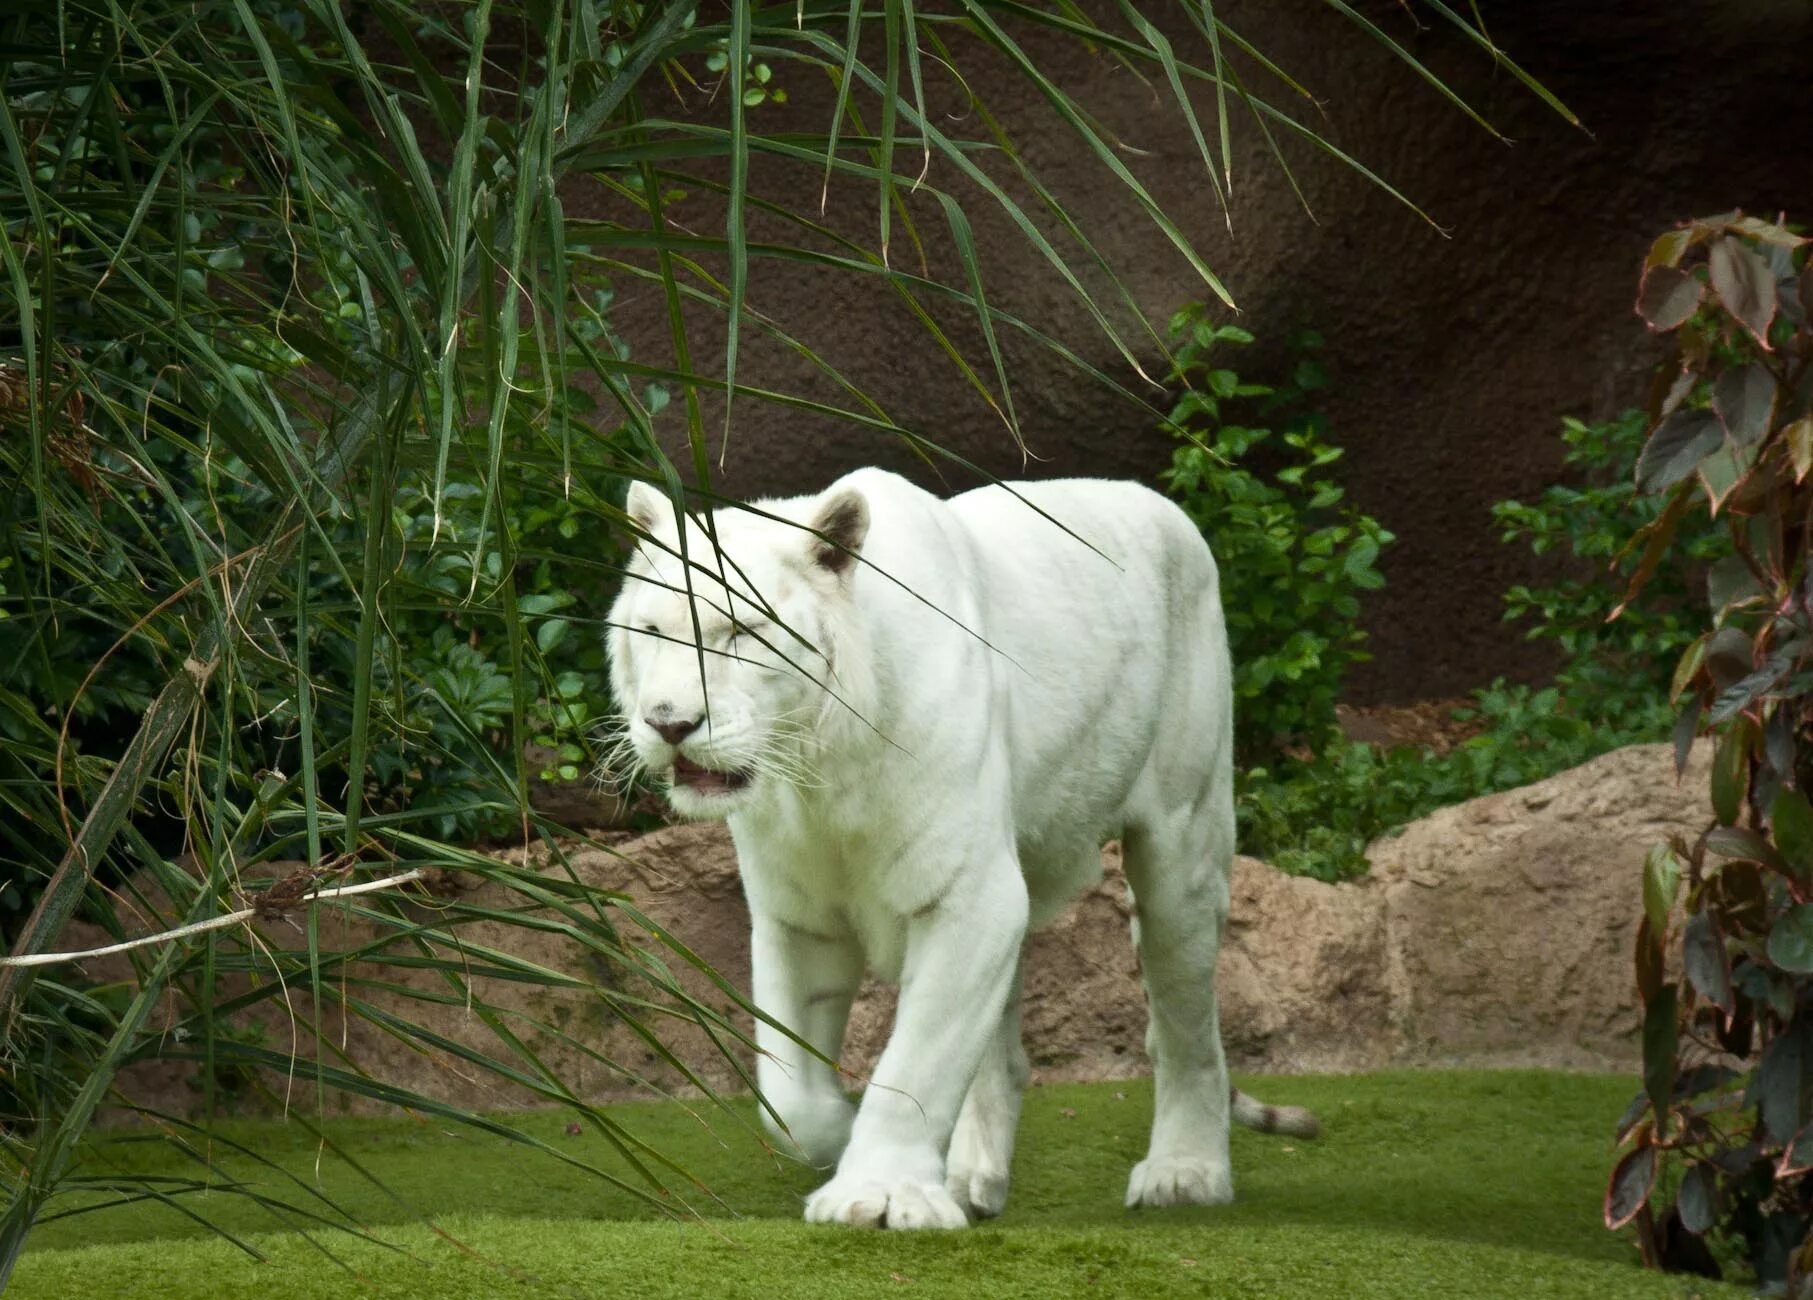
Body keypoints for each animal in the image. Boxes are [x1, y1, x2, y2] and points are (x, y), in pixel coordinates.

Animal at [609, 467, 1319, 1225]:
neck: (819, 774)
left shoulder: (968, 894)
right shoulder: (800, 915)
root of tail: (1161, 505)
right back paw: (970, 1179)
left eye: (741, 630)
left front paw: (875, 1191)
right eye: (652, 631)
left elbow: (918, 1058)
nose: (669, 723)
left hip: (1182, 842)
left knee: (1187, 1024)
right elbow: (788, 1088)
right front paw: (835, 1135)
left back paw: (1184, 1174)